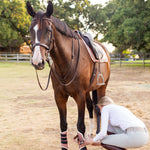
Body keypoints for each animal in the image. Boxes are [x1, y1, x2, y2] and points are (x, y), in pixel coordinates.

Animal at [25, 1, 110, 150]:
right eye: (31, 30)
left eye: (48, 30)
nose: (37, 62)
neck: (66, 62)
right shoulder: (59, 97)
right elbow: (63, 125)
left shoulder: (79, 96)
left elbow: (80, 125)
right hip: (88, 91)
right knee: (91, 107)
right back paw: (90, 134)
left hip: (101, 87)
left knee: (99, 109)